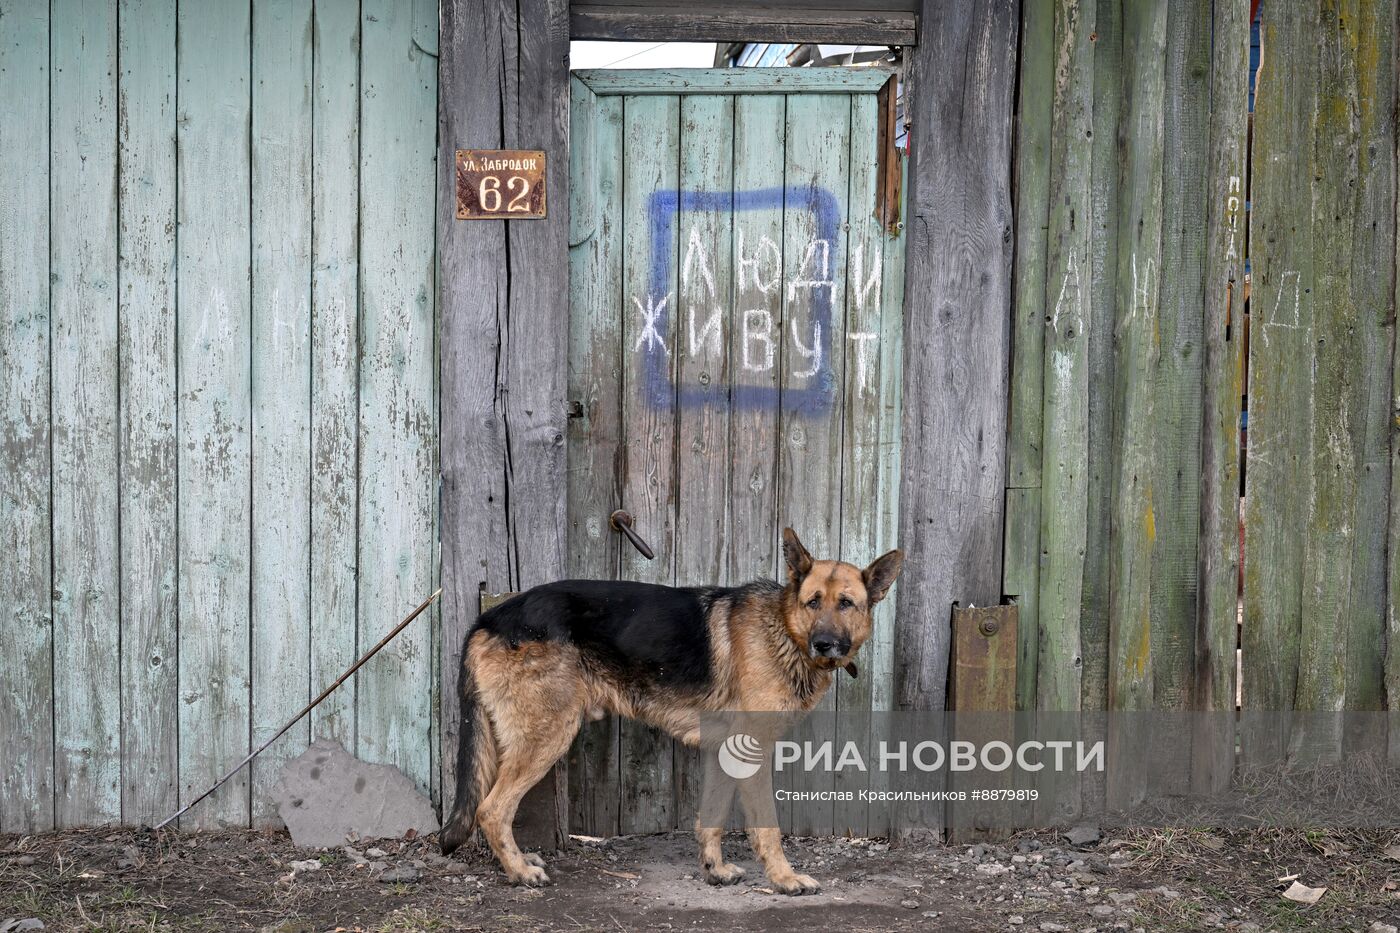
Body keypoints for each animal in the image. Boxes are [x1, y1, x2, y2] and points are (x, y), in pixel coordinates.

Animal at [436, 526, 901, 890]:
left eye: (846, 604)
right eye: (813, 602)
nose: (824, 644)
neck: (785, 630)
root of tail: (489, 618)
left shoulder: (726, 752)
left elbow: (712, 816)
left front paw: (714, 869)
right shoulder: (753, 751)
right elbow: (767, 826)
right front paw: (784, 879)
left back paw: (521, 861)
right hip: (548, 736)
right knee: (491, 809)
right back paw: (518, 872)